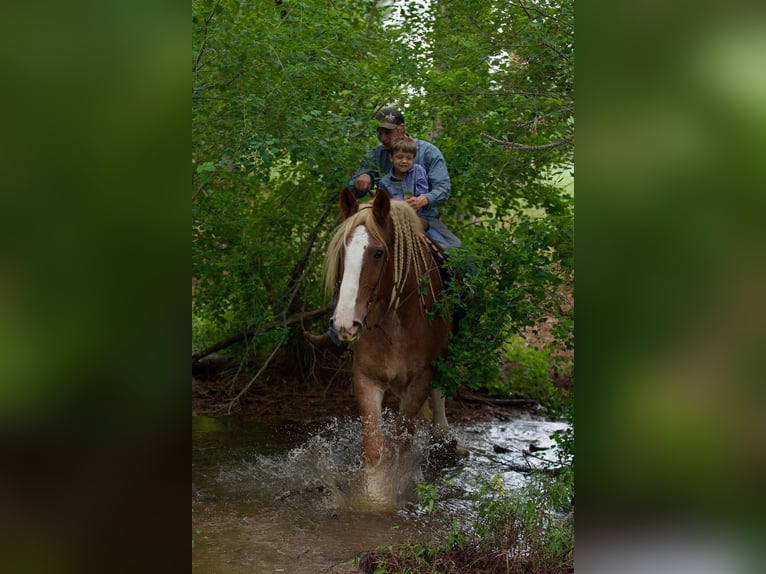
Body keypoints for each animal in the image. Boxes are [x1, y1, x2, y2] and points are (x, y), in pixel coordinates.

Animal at [326, 187, 452, 510]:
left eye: (378, 253)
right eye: (342, 252)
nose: (345, 323)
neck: (396, 321)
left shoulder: (419, 380)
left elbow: (401, 442)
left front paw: (392, 492)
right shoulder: (366, 379)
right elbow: (374, 445)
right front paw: (372, 496)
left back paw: (443, 435)